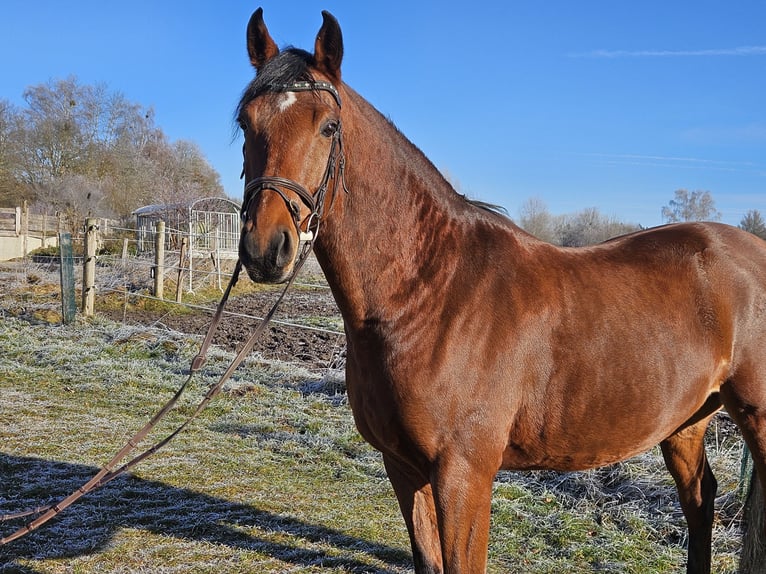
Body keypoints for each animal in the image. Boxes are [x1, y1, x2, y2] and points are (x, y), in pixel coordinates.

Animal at [236, 8, 766, 573]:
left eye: (328, 126)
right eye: (246, 123)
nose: (265, 248)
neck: (427, 295)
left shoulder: (464, 473)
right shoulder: (402, 467)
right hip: (685, 423)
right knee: (700, 499)